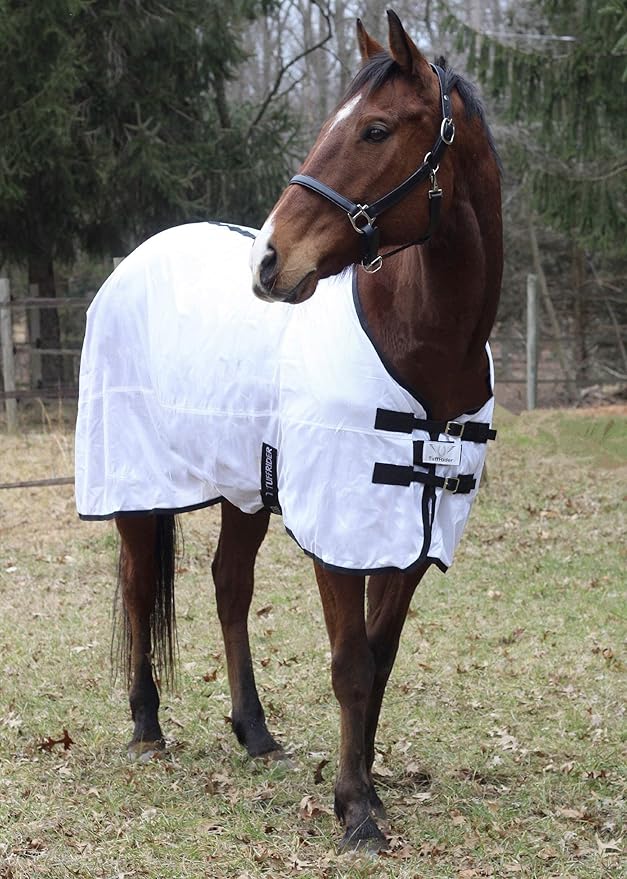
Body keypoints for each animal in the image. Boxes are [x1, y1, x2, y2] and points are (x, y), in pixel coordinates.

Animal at [75, 10, 502, 851]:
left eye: (374, 129)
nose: (268, 261)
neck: (422, 343)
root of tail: (132, 262)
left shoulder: (409, 532)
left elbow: (380, 657)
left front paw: (366, 788)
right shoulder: (339, 531)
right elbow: (349, 663)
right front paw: (357, 809)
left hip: (245, 489)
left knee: (228, 586)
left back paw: (255, 730)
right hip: (134, 485)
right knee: (140, 586)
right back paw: (146, 727)